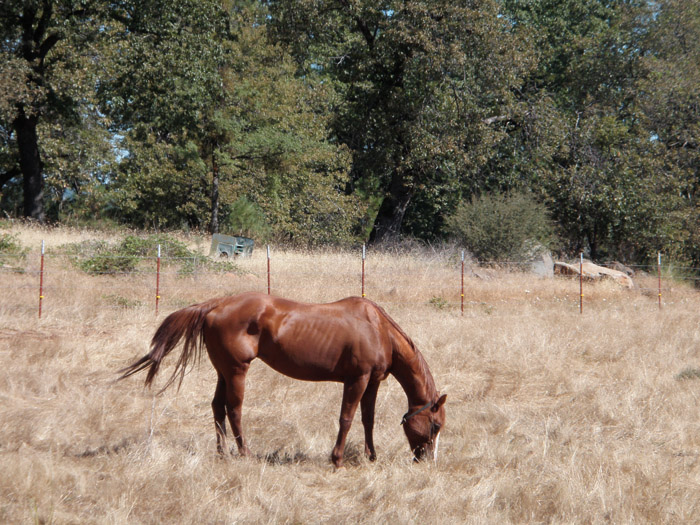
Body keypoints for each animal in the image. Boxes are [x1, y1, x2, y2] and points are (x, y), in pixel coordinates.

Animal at [119, 291, 446, 468]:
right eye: (435, 425)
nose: (425, 460)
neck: (378, 329)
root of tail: (216, 305)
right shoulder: (357, 379)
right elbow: (346, 418)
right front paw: (337, 459)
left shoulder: (373, 381)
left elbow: (368, 419)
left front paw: (371, 456)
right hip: (236, 371)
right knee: (233, 409)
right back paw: (245, 453)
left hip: (223, 371)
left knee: (216, 408)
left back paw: (222, 453)